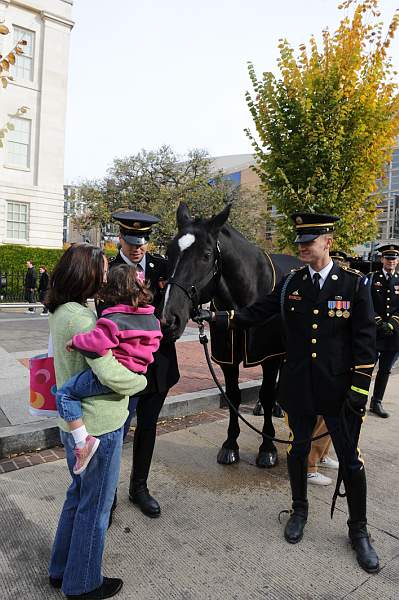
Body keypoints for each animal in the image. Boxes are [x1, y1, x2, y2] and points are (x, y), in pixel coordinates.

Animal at [161, 204, 302, 466]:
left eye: (206, 255)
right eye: (169, 252)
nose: (169, 319)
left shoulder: (270, 357)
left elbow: (267, 393)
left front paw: (267, 447)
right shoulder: (228, 359)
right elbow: (233, 397)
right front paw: (230, 445)